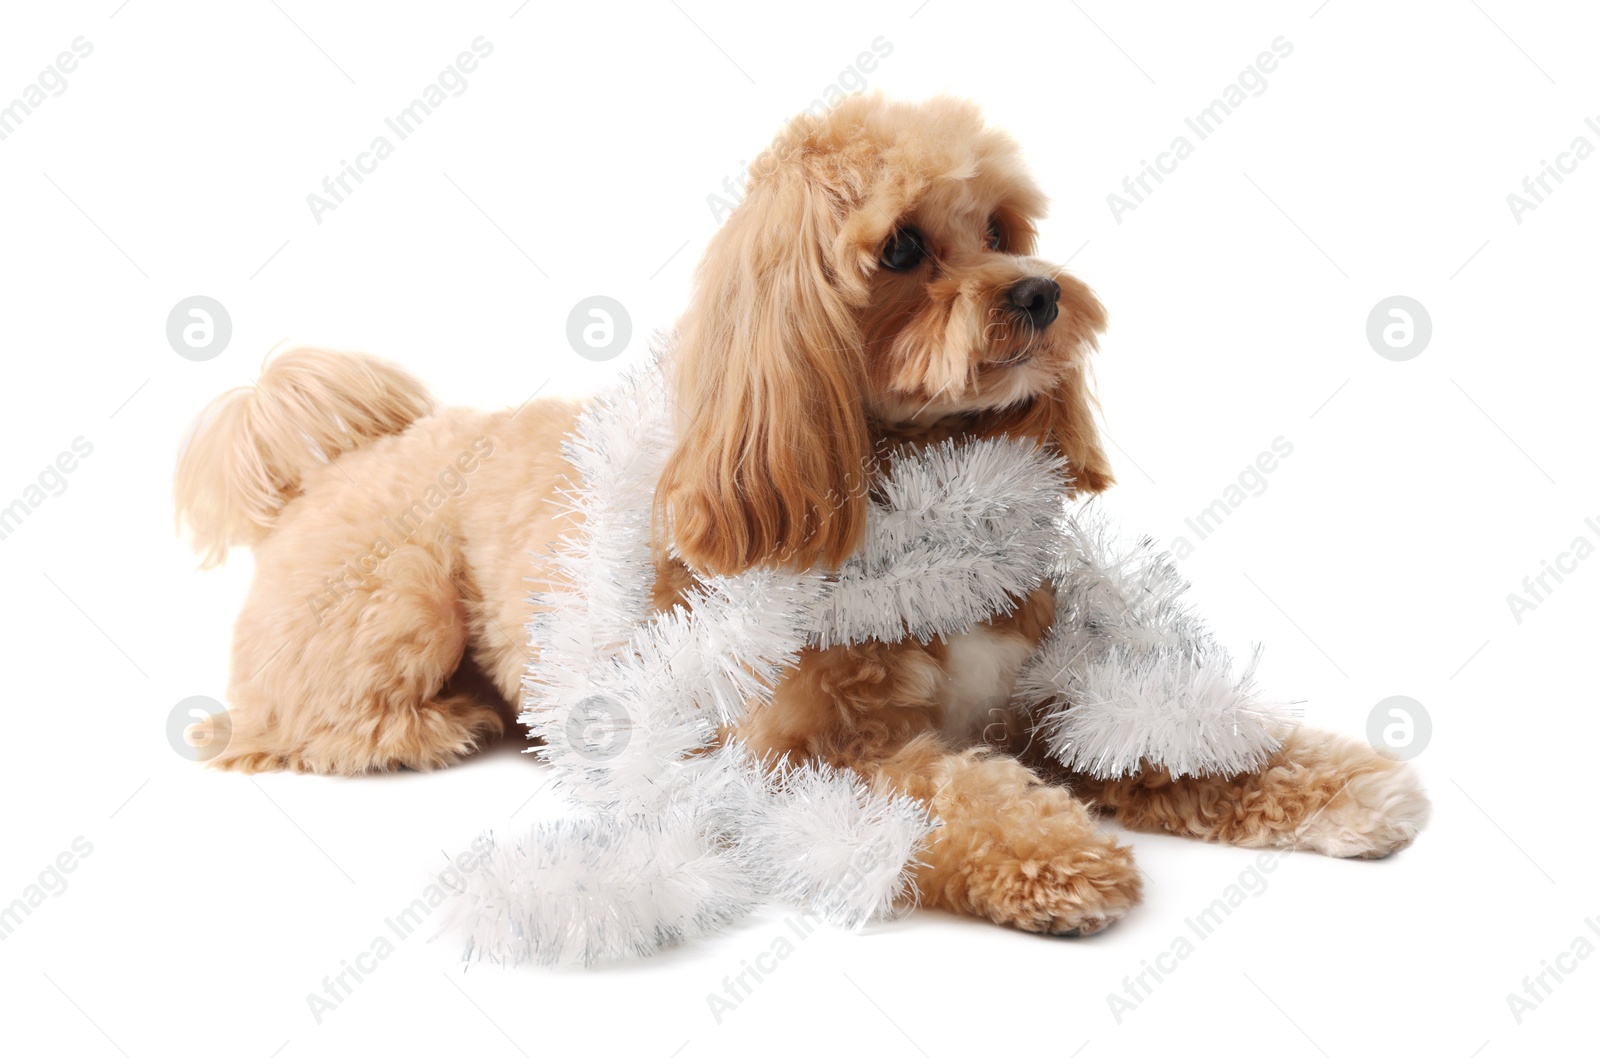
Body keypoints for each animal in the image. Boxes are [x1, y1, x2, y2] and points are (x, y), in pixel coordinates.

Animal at [175, 92, 1427, 934]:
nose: (1037, 291)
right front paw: (1054, 856)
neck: (915, 496)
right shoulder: (802, 753)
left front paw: (1328, 780)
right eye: (905, 247)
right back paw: (430, 724)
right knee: (281, 724)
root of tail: (340, 459)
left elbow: (1163, 735)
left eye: (1003, 229)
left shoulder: (1046, 696)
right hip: (396, 605)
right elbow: (948, 788)